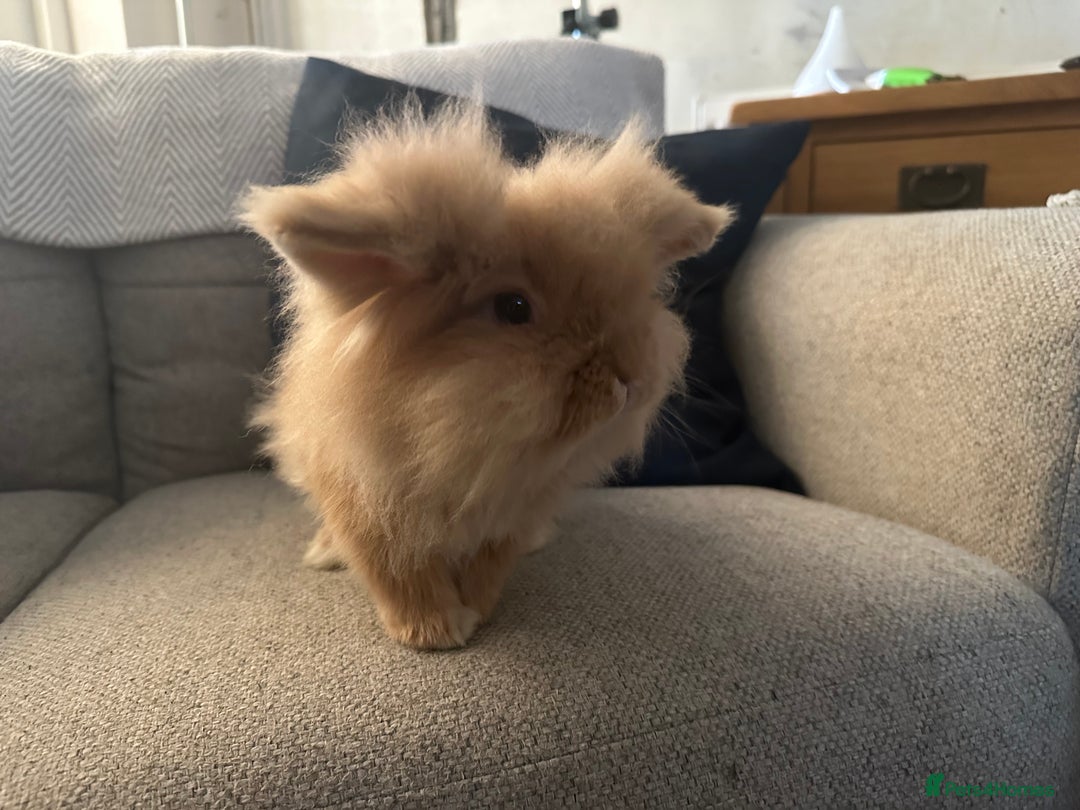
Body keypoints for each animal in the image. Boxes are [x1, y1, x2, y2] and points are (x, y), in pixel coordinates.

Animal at [239, 101, 733, 650]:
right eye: (513, 307)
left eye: (633, 296)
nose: (630, 380)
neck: (470, 456)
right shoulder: (367, 506)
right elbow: (398, 572)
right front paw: (436, 632)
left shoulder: (510, 516)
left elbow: (488, 568)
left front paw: (475, 610)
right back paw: (324, 554)